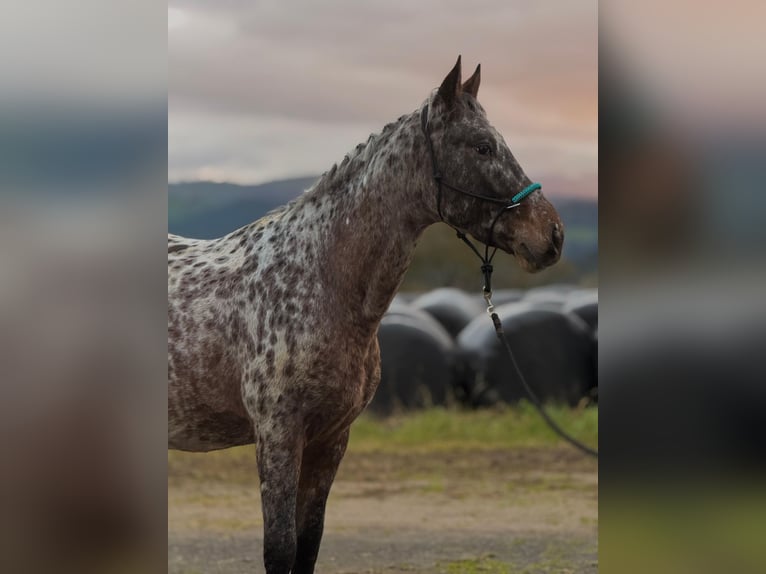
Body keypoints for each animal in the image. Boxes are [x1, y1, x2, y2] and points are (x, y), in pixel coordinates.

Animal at [168, 56, 564, 574]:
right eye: (482, 145)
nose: (552, 235)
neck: (317, 277)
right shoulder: (278, 435)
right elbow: (280, 548)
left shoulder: (331, 439)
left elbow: (308, 543)